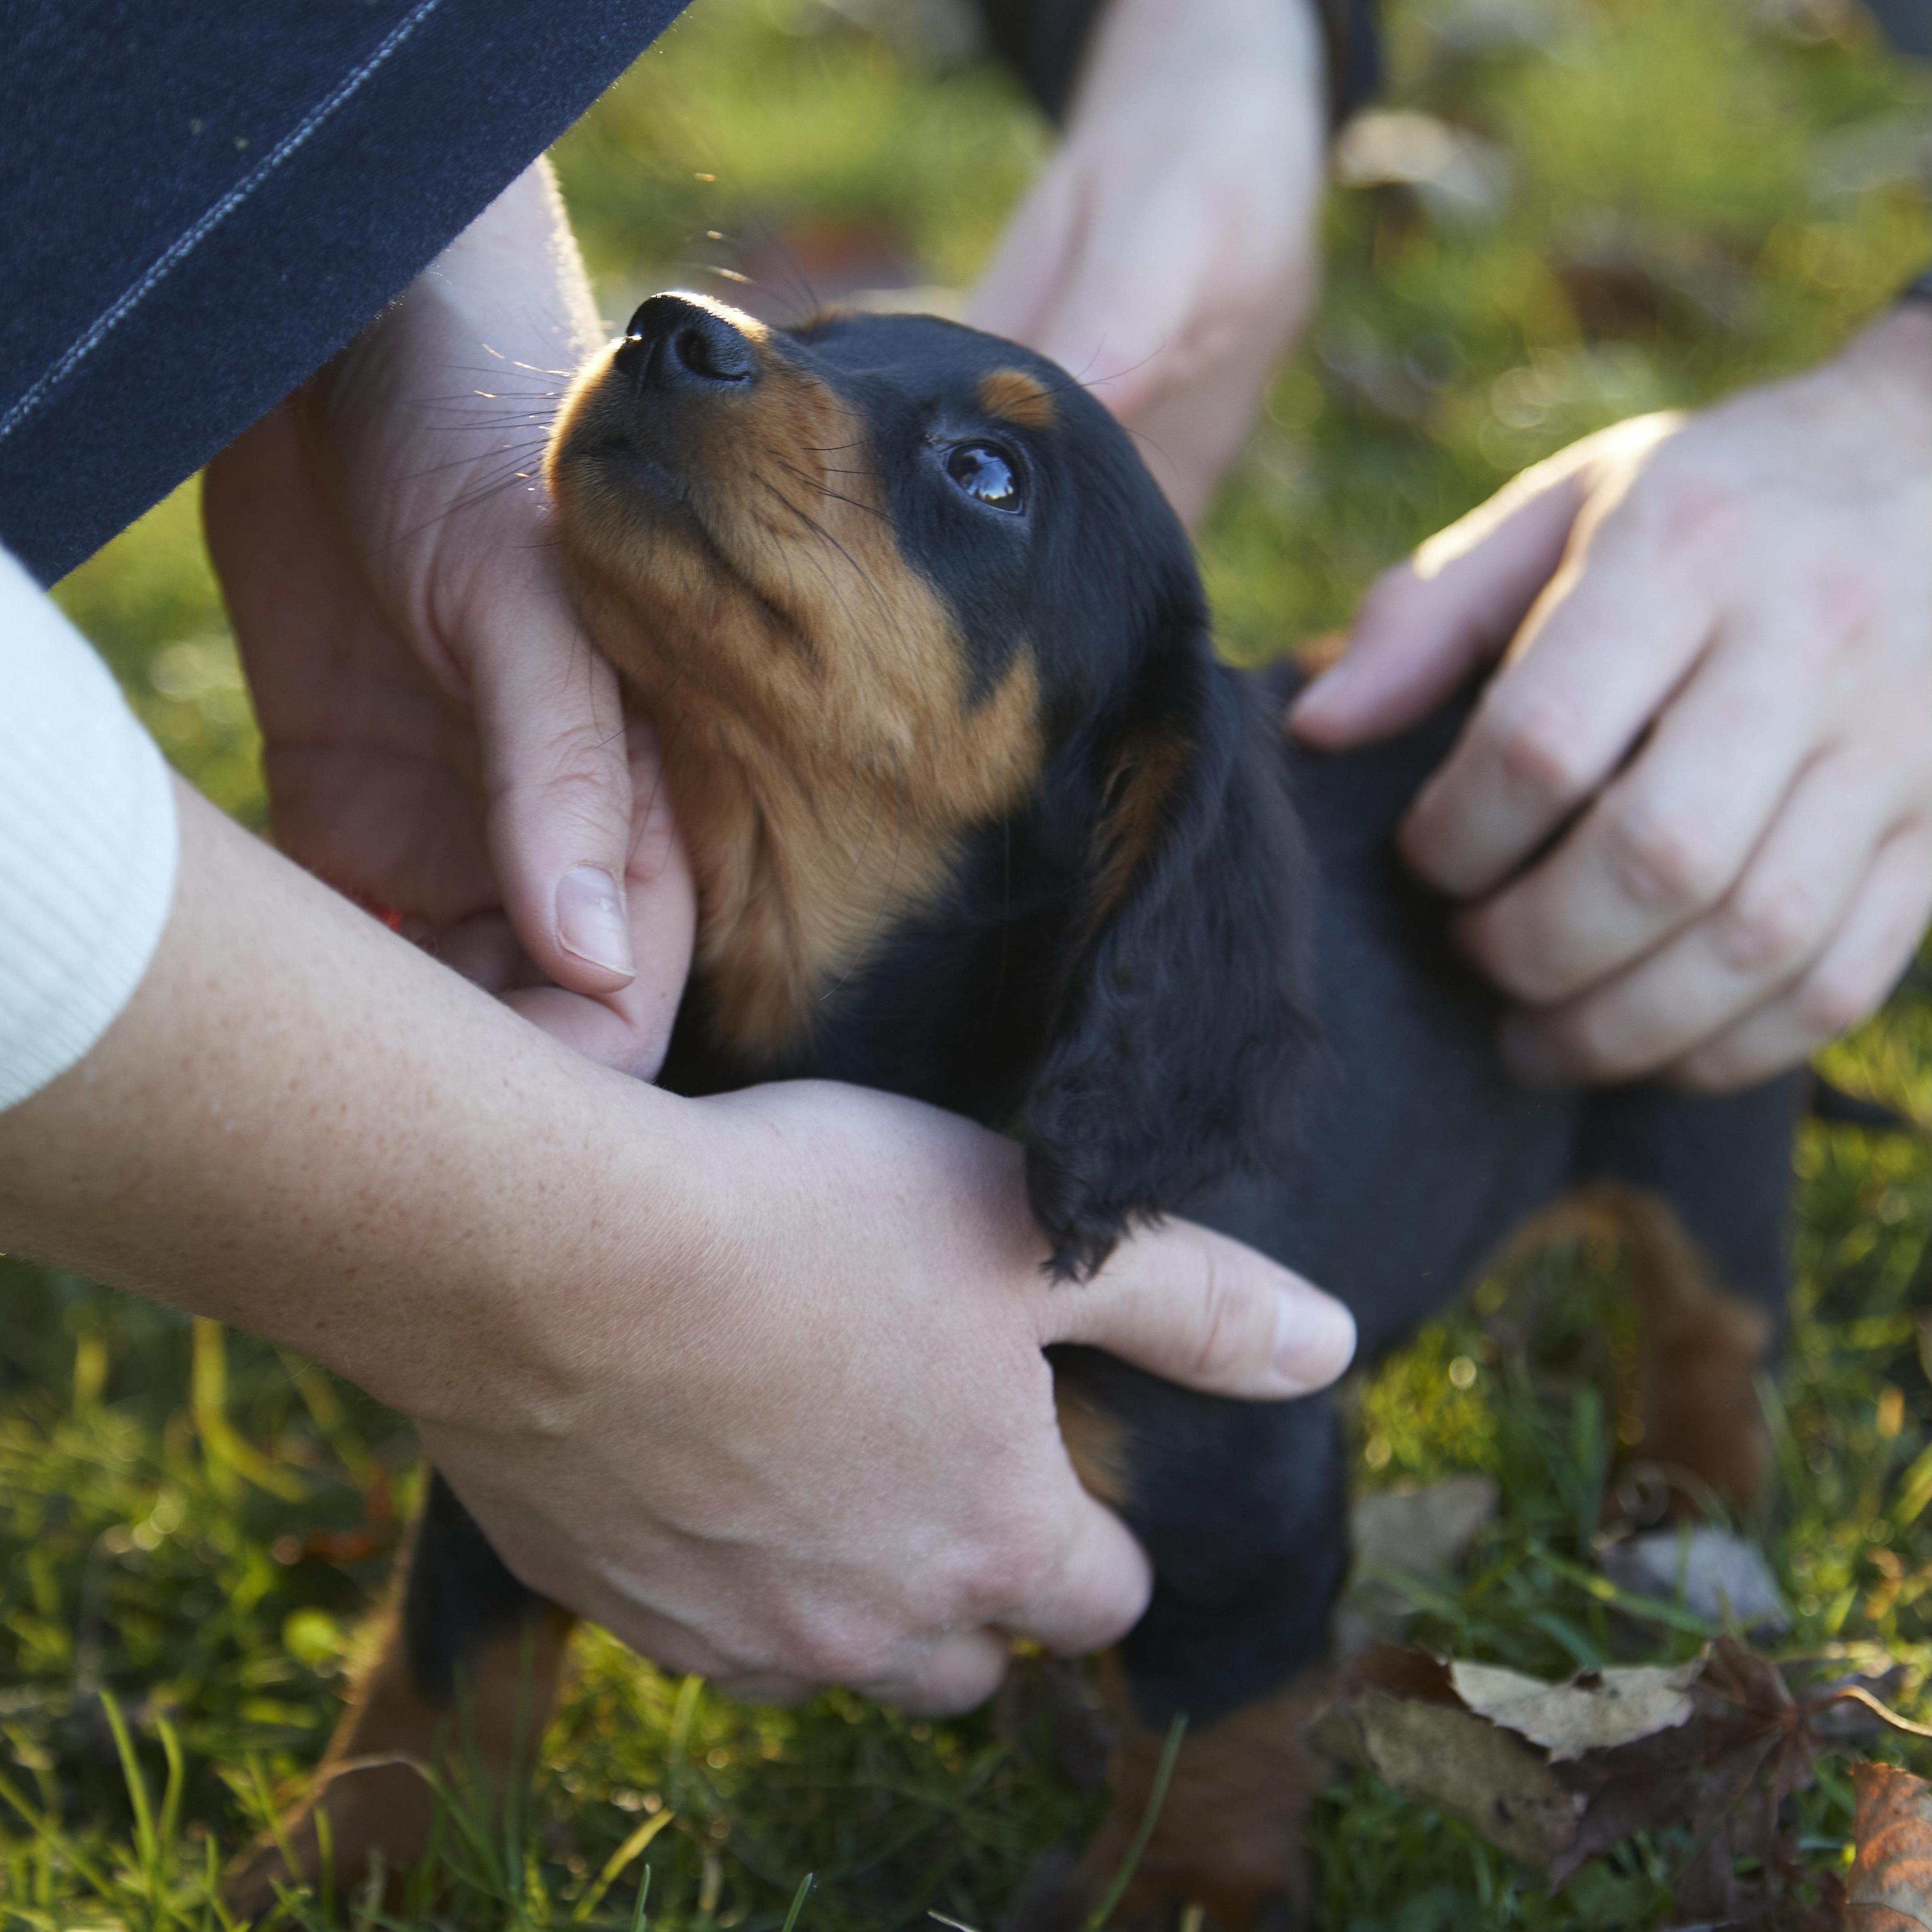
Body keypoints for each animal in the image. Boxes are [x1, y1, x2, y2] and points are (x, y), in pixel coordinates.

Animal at [234, 293, 1800, 1924]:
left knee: (1720, 1317)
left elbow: (1218, 1712)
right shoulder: (542, 1424)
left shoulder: (1241, 1480)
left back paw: (1695, 1523)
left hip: (1698, 1094)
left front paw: (1188, 1886)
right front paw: (358, 1860)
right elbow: (450, 1642)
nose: (667, 326)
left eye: (989, 475)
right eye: (813, 331)